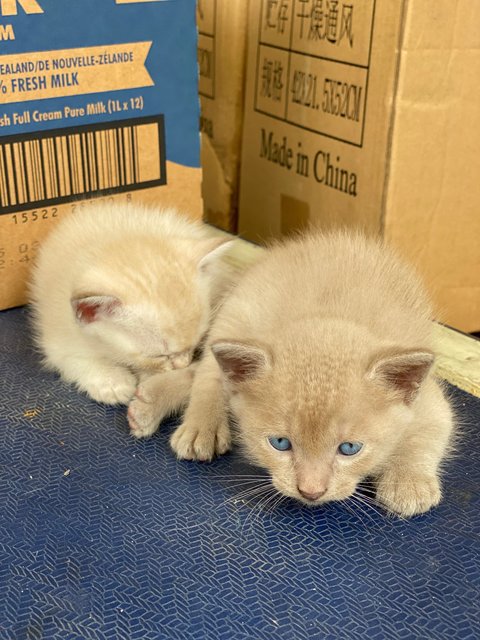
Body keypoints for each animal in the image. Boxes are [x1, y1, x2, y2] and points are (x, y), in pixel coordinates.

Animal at [29, 202, 233, 408]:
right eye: (160, 355)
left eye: (197, 343)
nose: (183, 364)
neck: (112, 241)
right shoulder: (57, 330)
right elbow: (73, 358)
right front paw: (112, 382)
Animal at [134, 232, 454, 516]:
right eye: (280, 443)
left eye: (350, 448)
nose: (311, 491)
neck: (330, 315)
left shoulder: (427, 397)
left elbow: (430, 430)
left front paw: (409, 482)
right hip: (236, 313)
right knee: (210, 372)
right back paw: (197, 424)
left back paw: (147, 400)